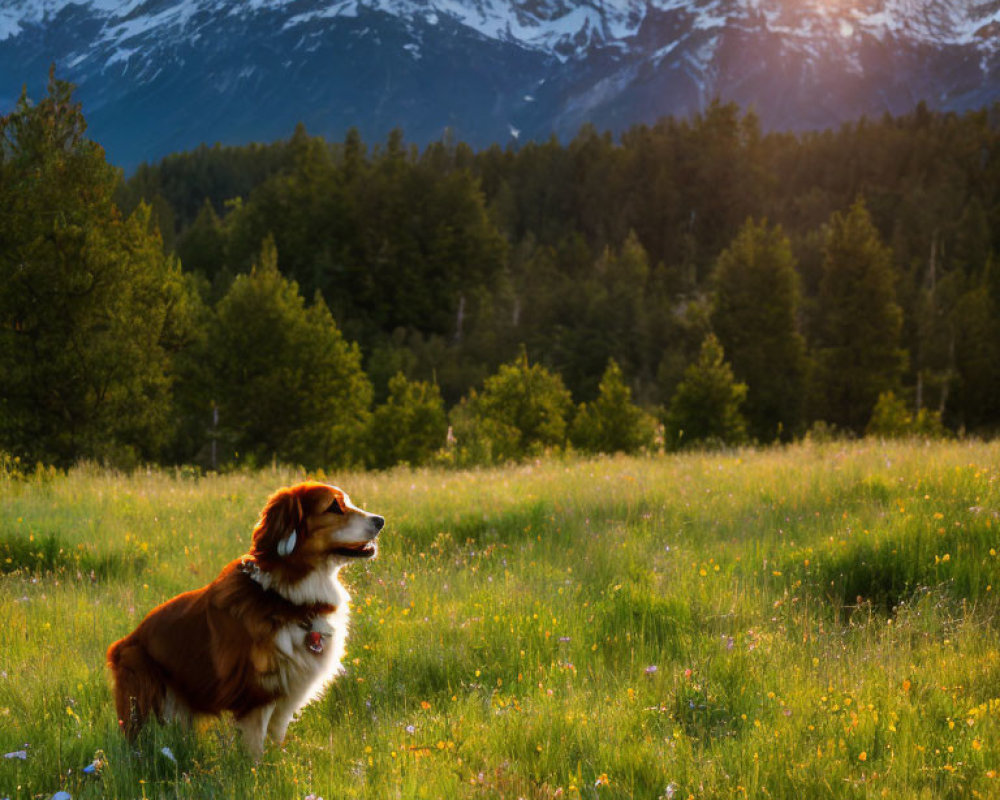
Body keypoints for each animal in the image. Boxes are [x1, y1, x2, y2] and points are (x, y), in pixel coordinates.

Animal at [103, 482, 380, 756]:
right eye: (334, 506)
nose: (381, 520)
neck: (286, 597)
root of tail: (122, 644)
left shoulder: (285, 698)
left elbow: (276, 742)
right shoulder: (256, 698)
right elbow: (255, 751)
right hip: (147, 702)